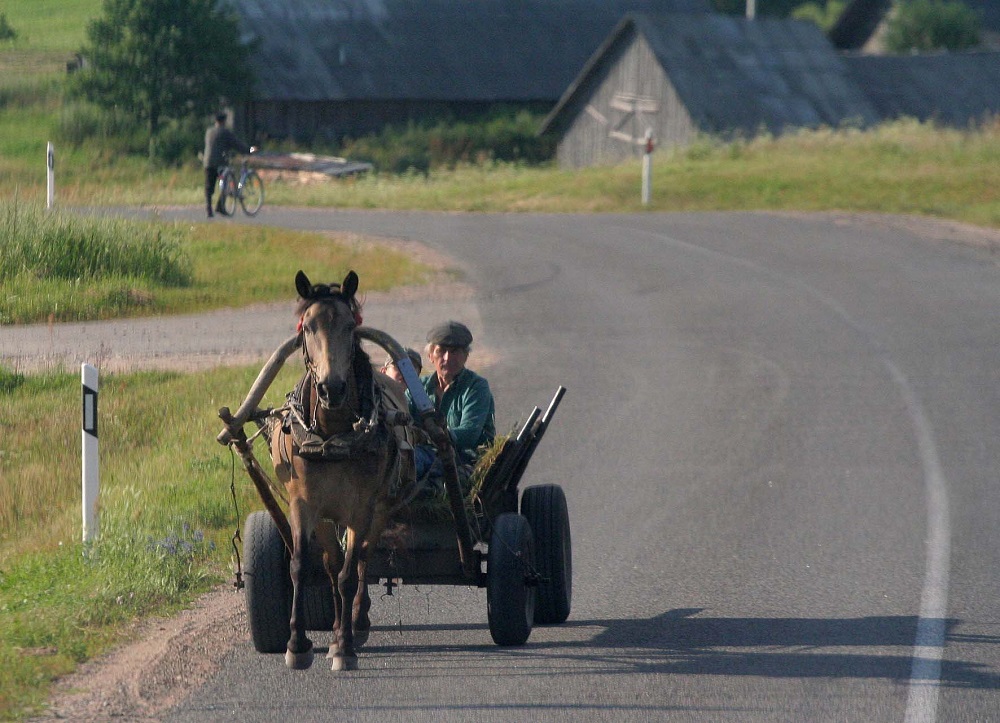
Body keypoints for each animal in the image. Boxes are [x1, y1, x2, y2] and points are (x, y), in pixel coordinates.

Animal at [270, 272, 414, 672]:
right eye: (309, 326)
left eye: (350, 326)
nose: (331, 388)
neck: (332, 438)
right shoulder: (305, 506)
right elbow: (306, 566)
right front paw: (297, 643)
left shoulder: (361, 508)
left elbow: (351, 573)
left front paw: (344, 648)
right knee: (334, 564)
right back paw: (338, 625)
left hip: (379, 509)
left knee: (363, 557)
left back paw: (355, 621)